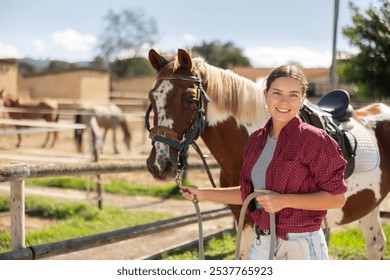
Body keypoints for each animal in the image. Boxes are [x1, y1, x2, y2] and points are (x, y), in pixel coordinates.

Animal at [145, 48, 390, 260]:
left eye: (190, 99)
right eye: (152, 97)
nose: (159, 165)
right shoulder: (242, 220)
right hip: (369, 206)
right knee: (376, 245)